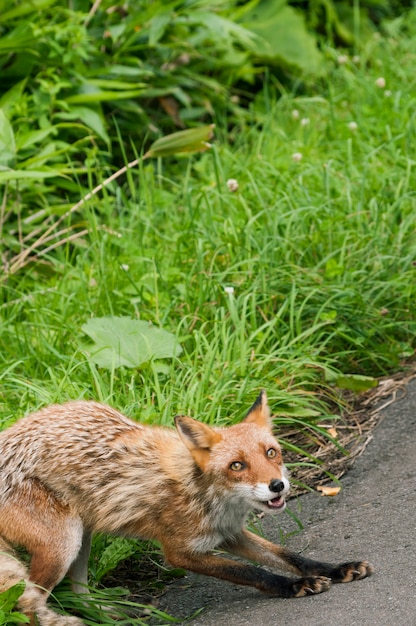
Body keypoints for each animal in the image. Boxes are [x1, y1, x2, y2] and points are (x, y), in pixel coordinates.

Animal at [0, 388, 370, 620]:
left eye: (271, 453)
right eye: (237, 465)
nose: (277, 485)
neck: (205, 494)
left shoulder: (230, 533)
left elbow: (291, 557)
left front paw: (336, 569)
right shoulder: (180, 552)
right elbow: (250, 572)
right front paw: (292, 587)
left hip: (81, 537)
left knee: (77, 595)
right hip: (62, 543)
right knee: (26, 605)